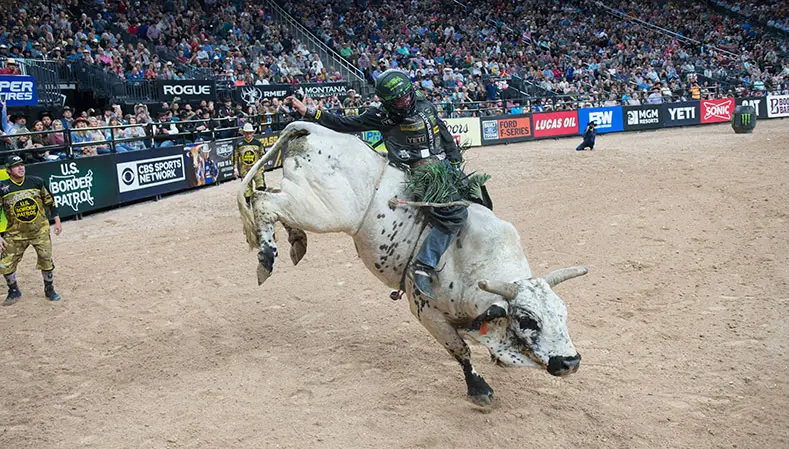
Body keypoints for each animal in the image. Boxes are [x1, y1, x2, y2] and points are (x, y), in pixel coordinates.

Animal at [238, 121, 587, 406]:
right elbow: (461, 351)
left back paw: (295, 241)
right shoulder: (427, 313)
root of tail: (309, 127)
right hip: (324, 210)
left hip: (305, 201)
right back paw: (266, 258)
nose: (570, 362)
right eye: (528, 321)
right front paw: (479, 389)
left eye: (563, 314)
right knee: (264, 202)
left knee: (272, 199)